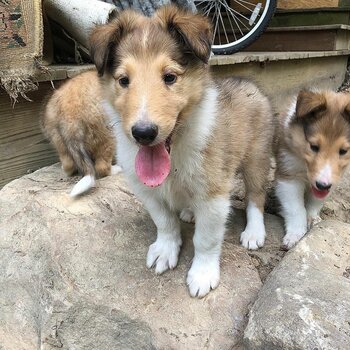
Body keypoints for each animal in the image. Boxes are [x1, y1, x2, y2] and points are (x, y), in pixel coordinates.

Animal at [91, 4, 274, 296]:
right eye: (123, 80)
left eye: (170, 77)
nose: (143, 133)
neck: (175, 151)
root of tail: (249, 83)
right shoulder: (147, 191)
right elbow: (164, 222)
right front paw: (165, 251)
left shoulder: (213, 195)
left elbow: (205, 239)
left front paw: (202, 274)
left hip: (256, 157)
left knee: (256, 197)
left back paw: (254, 232)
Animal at [274, 90, 350, 249]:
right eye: (314, 147)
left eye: (343, 151)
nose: (322, 185)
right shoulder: (288, 176)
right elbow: (296, 208)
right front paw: (295, 234)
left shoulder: (334, 179)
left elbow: (315, 202)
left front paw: (313, 219)